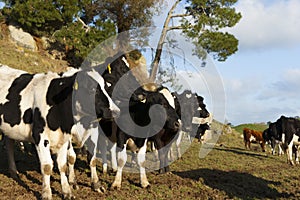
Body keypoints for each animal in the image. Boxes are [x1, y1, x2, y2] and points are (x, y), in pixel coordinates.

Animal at [0, 65, 119, 199]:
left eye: (106, 87)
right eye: (92, 88)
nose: (116, 111)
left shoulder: (65, 137)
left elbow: (64, 164)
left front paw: (68, 191)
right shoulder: (40, 137)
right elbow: (47, 166)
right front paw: (47, 194)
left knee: (9, 143)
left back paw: (14, 172)